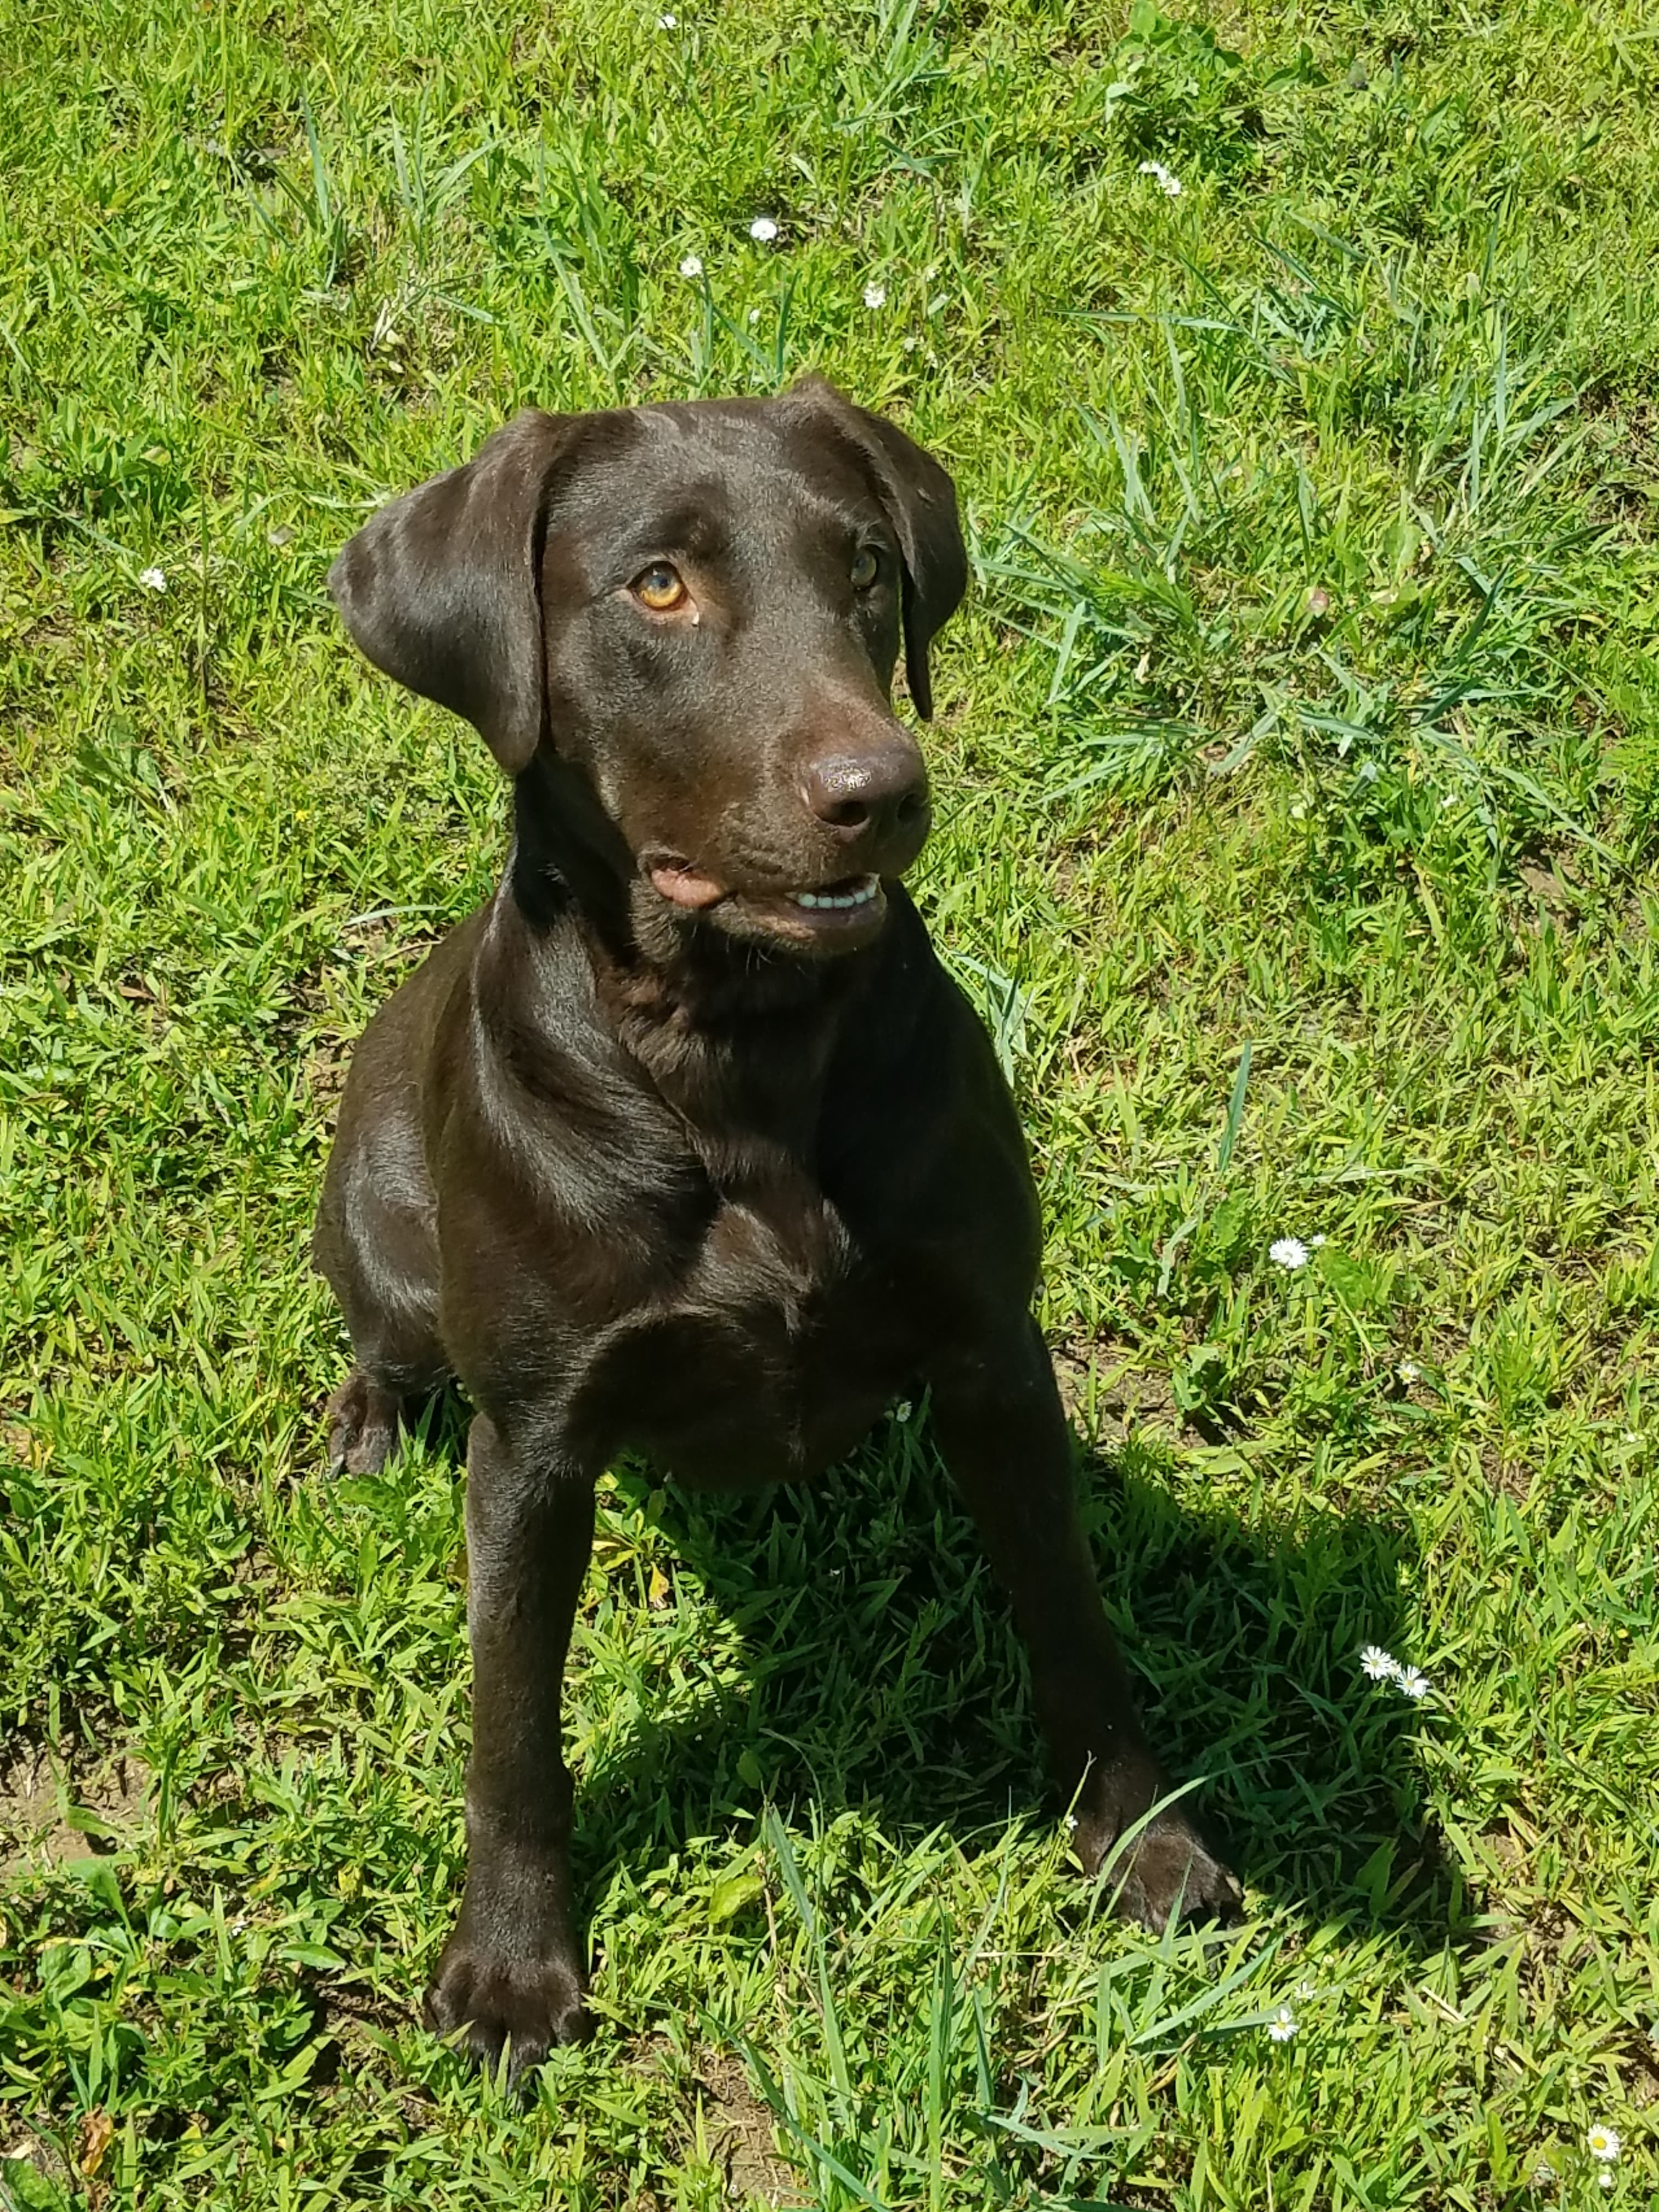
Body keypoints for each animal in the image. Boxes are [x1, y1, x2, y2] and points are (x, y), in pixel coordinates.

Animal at [318, 376, 1238, 2070]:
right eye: (657, 587)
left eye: (866, 568)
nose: (881, 791)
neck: (735, 1051)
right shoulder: (534, 1446)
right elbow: (511, 1728)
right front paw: (512, 1969)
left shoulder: (995, 1357)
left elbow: (1072, 1620)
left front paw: (1146, 1846)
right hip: (387, 1247)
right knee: (386, 1342)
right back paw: (364, 1424)